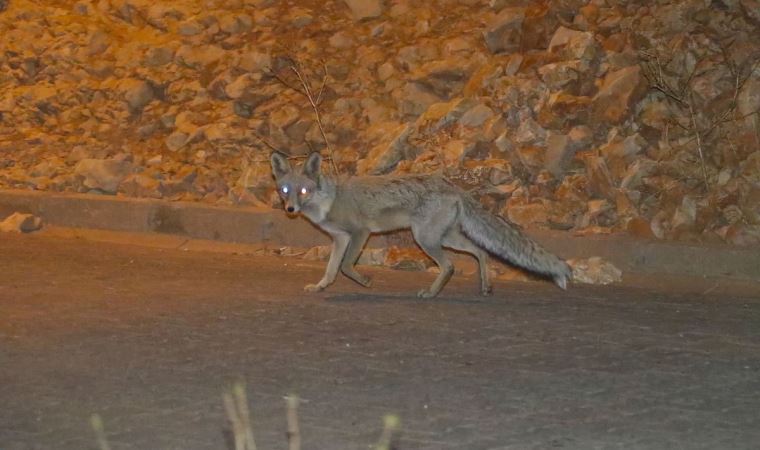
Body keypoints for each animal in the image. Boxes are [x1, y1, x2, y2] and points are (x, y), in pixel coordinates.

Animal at [270, 152, 572, 298]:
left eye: (304, 191)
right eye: (285, 190)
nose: (290, 210)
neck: (328, 200)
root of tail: (452, 185)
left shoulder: (359, 233)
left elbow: (345, 267)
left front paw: (365, 281)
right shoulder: (340, 239)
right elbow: (332, 270)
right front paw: (320, 287)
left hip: (425, 239)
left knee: (450, 266)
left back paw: (431, 293)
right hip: (444, 238)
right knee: (481, 252)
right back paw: (485, 286)